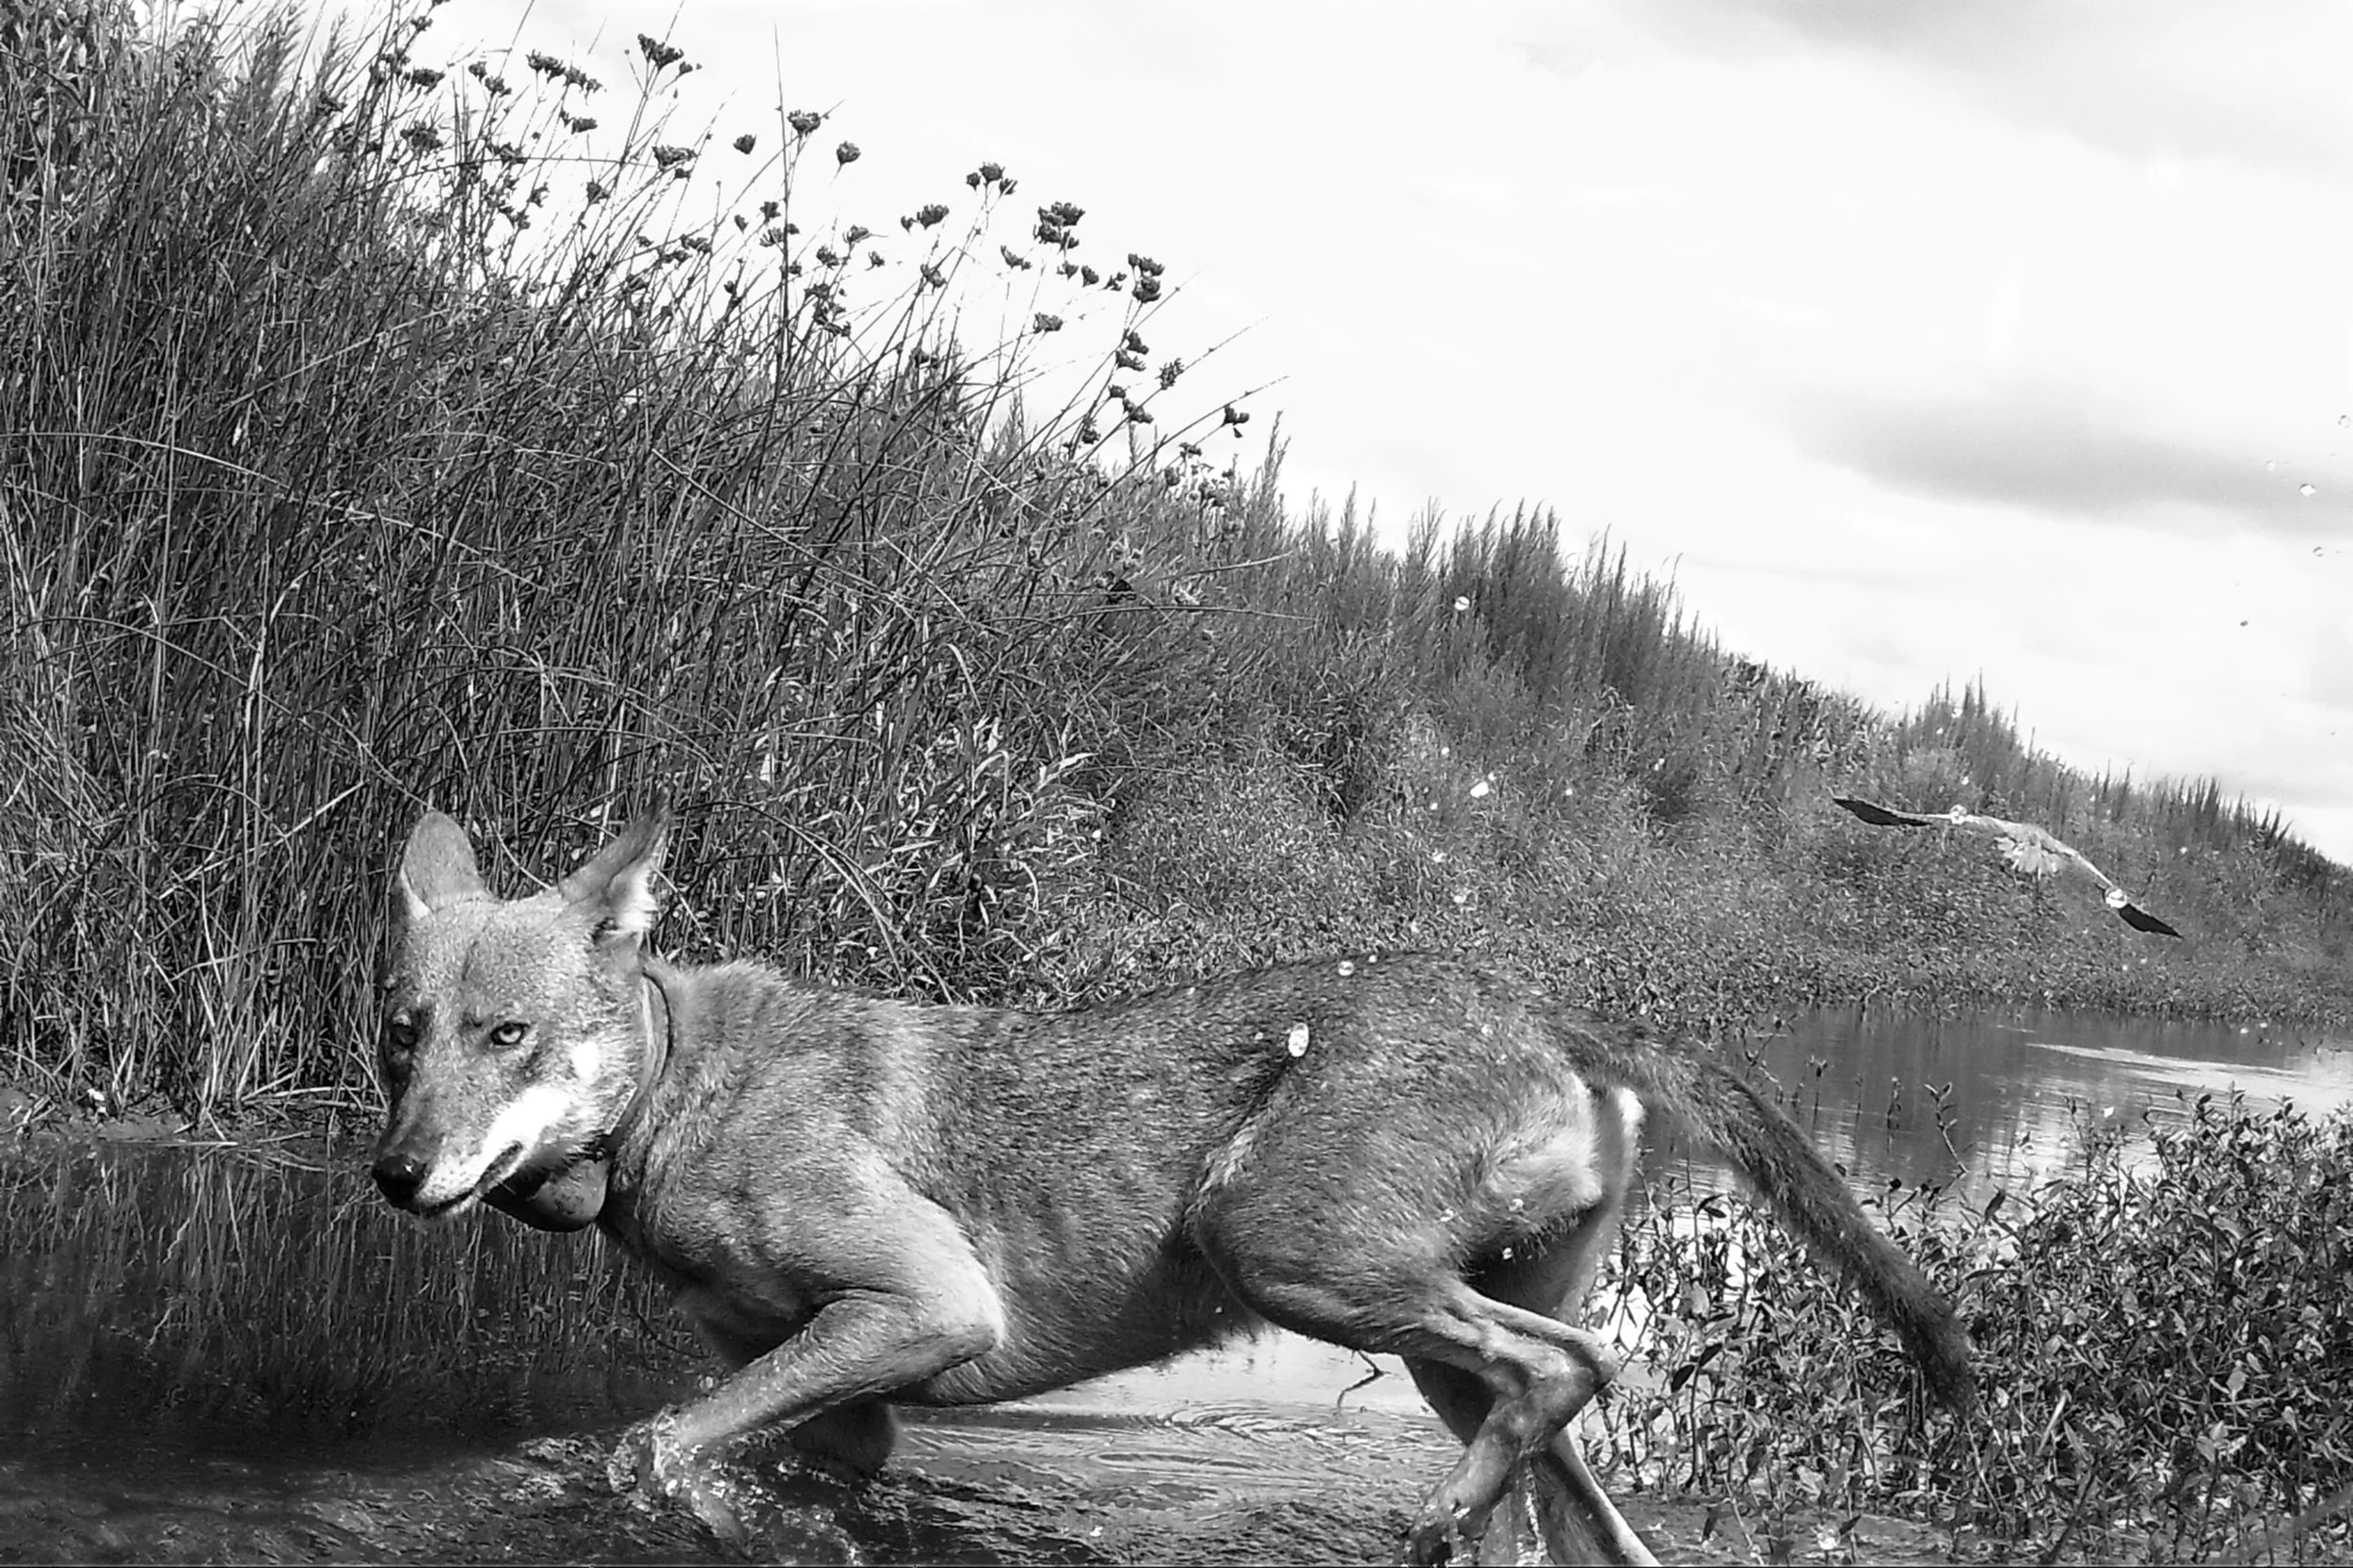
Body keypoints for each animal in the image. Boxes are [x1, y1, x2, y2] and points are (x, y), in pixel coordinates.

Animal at [370, 804, 1974, 1566]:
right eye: (402, 1030)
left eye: (505, 1036)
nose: (394, 1173)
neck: (678, 1089)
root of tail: (1548, 1005)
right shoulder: (853, 1396)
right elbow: (738, 1443)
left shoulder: (925, 1306)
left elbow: (652, 1443)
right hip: (1418, 1336)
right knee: (1584, 1484)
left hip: (1296, 1262)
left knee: (1576, 1365)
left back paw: (1431, 1521)